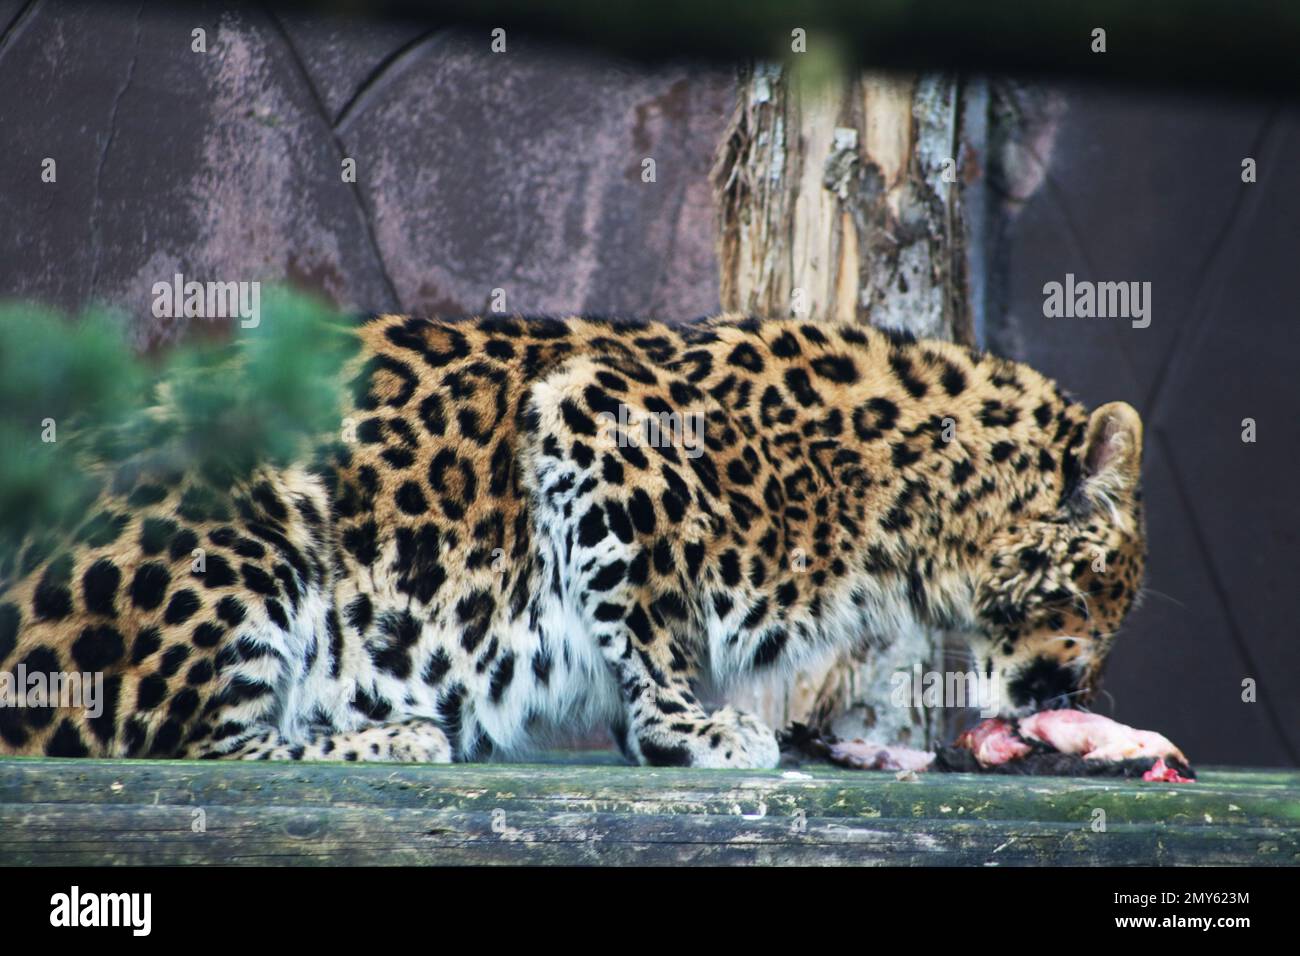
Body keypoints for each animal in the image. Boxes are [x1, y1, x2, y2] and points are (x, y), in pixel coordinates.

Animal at [0, 313, 1146, 768]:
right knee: (194, 740)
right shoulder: (597, 415)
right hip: (249, 523)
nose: (1067, 690)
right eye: (1099, 592)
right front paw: (694, 731)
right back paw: (401, 734)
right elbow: (654, 619)